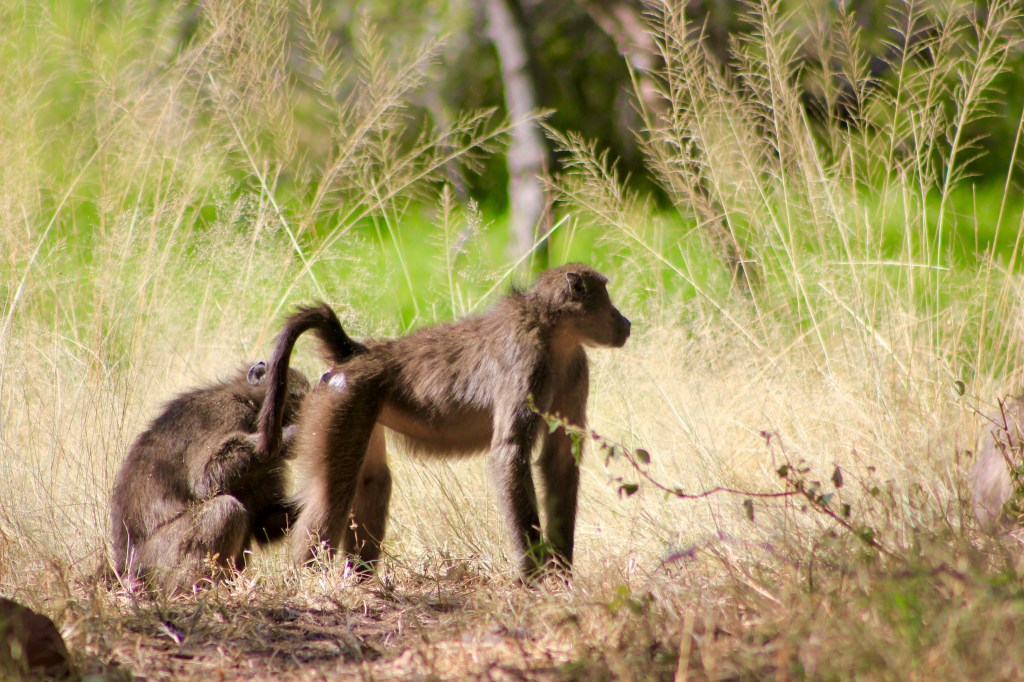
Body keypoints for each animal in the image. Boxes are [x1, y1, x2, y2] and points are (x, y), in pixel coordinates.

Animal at [109, 361, 311, 593]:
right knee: (224, 510)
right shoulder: (229, 414)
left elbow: (264, 523)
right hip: (159, 563)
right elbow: (205, 481)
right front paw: (290, 435)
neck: (250, 401)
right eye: (296, 398)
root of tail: (124, 568)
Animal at [279, 264, 631, 580]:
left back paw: (358, 579)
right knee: (333, 493)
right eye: (606, 294)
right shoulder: (529, 362)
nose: (625, 322)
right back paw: (308, 580)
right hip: (342, 399)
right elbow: (509, 453)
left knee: (371, 479)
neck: (554, 332)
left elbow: (560, 459)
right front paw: (531, 578)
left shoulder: (576, 368)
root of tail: (354, 354)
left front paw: (561, 574)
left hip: (358, 402)